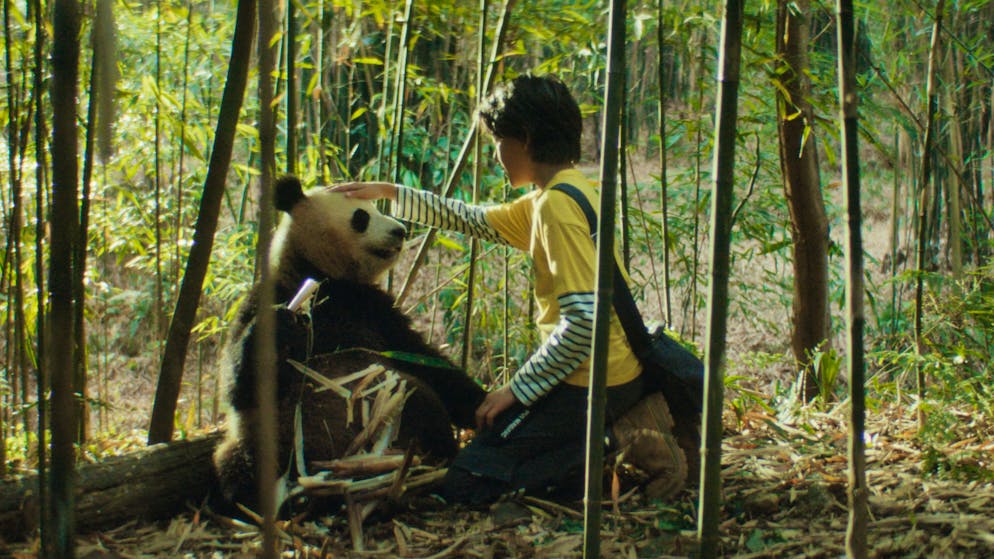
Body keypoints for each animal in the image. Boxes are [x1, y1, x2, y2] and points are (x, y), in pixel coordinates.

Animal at [213, 175, 486, 507]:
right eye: (361, 216)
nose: (400, 230)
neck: (324, 279)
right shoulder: (269, 294)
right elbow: (237, 386)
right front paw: (280, 324)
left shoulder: (374, 310)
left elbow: (422, 358)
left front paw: (484, 404)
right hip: (266, 441)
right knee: (238, 468)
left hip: (397, 408)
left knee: (421, 400)